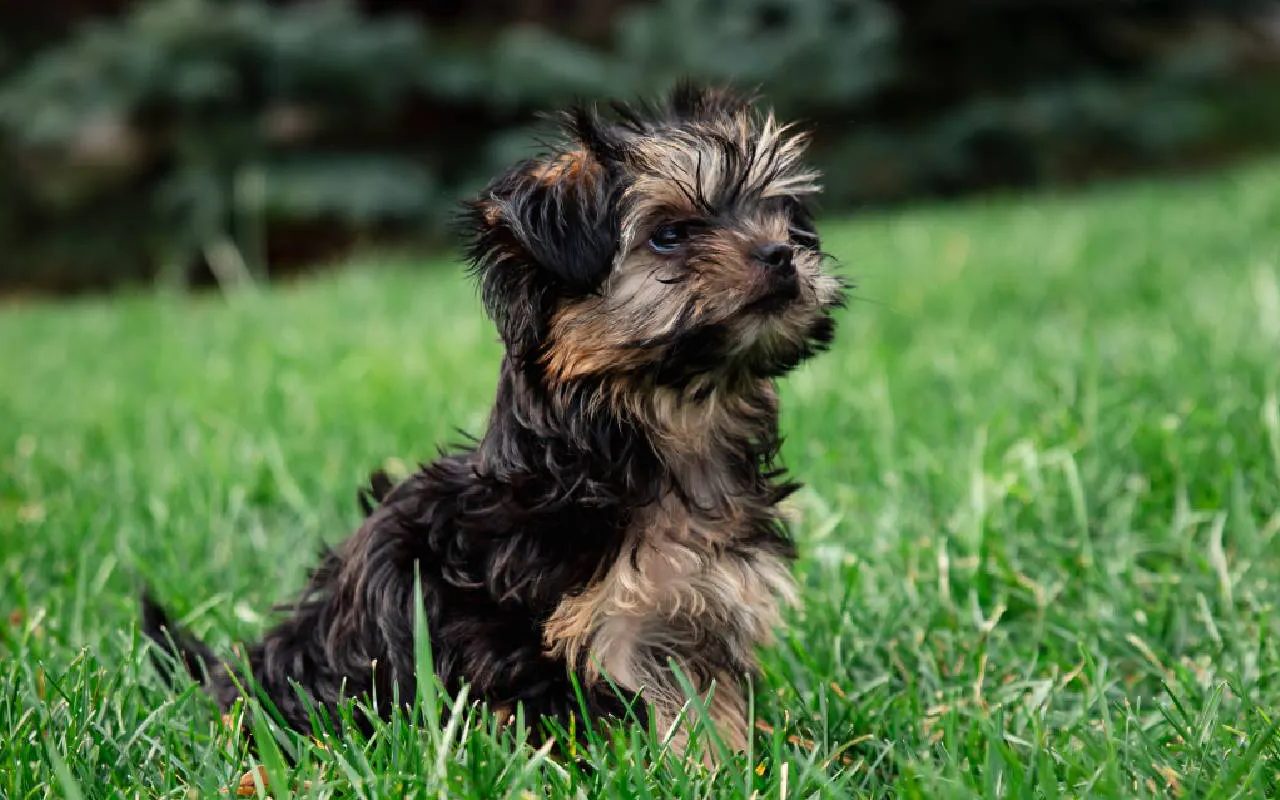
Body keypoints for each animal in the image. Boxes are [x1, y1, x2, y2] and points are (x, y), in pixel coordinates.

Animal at [145, 84, 844, 752]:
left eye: (780, 218)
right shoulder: (598, 631)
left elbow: (711, 707)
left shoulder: (701, 607)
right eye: (669, 234)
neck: (669, 426)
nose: (781, 253)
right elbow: (651, 717)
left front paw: (737, 760)